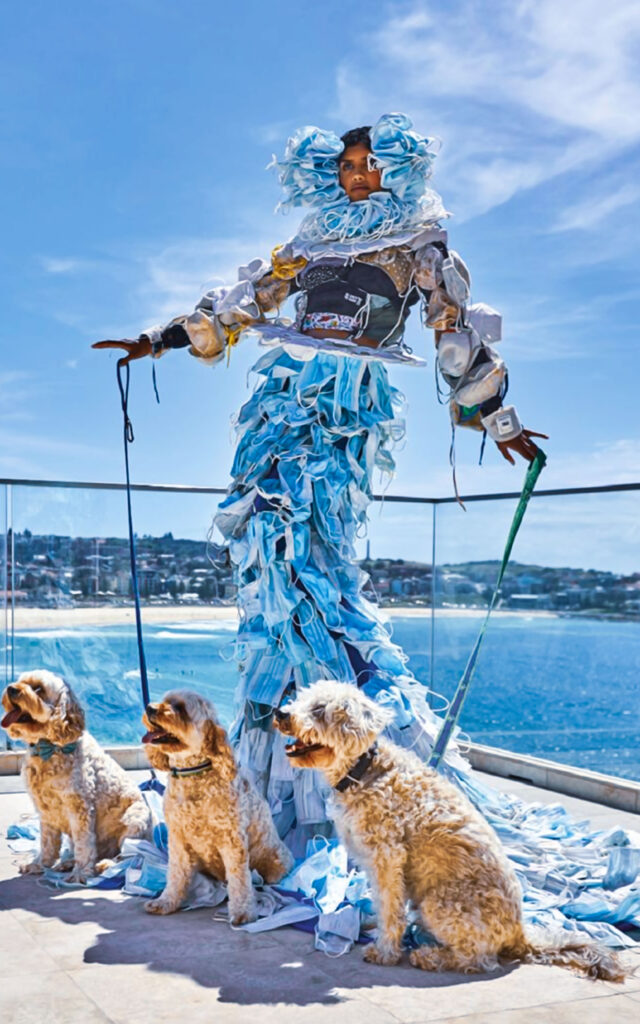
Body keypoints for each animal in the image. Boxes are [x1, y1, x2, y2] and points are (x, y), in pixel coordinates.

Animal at [1, 667, 152, 884]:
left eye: (39, 689)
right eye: (21, 681)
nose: (11, 689)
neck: (50, 748)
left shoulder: (80, 808)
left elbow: (84, 844)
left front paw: (81, 873)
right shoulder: (45, 811)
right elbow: (47, 843)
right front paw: (39, 865)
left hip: (135, 820)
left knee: (129, 857)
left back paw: (105, 864)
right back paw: (68, 862)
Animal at [141, 692, 292, 925]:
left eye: (181, 708)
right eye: (166, 699)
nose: (149, 707)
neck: (193, 774)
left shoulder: (232, 841)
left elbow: (240, 880)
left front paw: (243, 912)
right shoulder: (178, 840)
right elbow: (175, 875)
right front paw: (166, 902)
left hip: (276, 862)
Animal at [274, 684, 622, 978]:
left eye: (319, 709)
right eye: (301, 698)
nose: (281, 713)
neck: (363, 771)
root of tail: (520, 934)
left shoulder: (387, 857)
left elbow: (391, 908)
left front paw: (385, 951)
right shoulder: (373, 862)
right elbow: (383, 903)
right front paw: (371, 924)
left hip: (439, 903)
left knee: (479, 958)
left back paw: (430, 956)